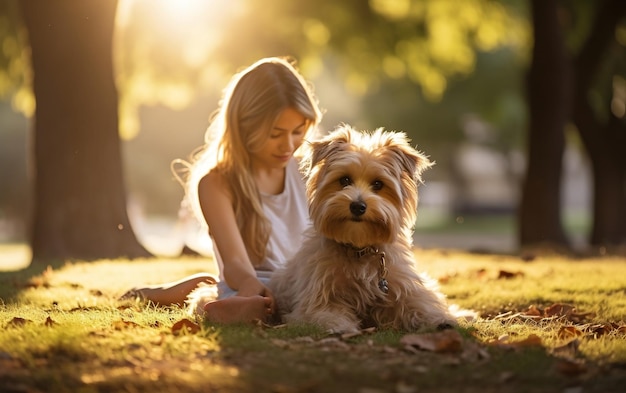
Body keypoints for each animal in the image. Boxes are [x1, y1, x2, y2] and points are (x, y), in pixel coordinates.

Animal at [268, 124, 454, 332]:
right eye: (344, 180)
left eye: (378, 184)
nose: (358, 206)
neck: (360, 249)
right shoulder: (316, 298)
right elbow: (323, 313)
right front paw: (340, 326)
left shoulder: (402, 286)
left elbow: (419, 303)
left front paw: (439, 319)